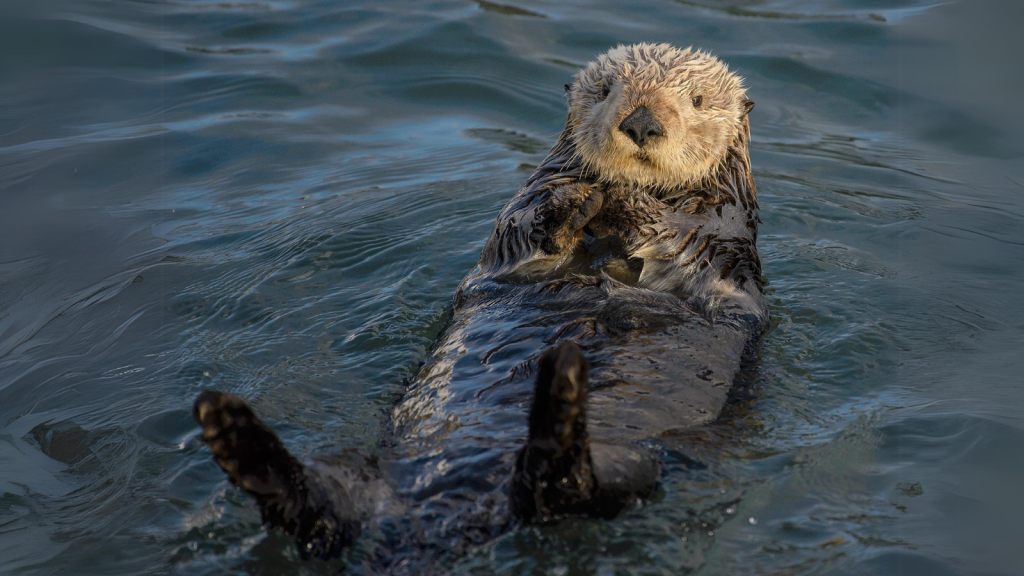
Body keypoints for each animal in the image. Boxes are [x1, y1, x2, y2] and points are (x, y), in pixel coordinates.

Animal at [193, 44, 770, 565]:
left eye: (696, 100)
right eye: (607, 91)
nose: (643, 123)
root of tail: (444, 521)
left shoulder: (721, 239)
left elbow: (681, 239)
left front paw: (627, 201)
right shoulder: (519, 215)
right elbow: (523, 227)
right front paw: (575, 202)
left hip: (636, 465)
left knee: (566, 489)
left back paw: (560, 395)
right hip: (363, 472)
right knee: (323, 508)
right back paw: (233, 433)